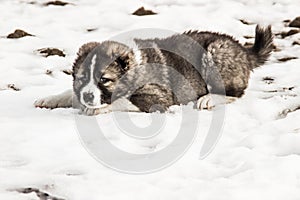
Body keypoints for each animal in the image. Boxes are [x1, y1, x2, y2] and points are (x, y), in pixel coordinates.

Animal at [34, 25, 274, 115]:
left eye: (104, 79)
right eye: (82, 78)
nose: (88, 96)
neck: (134, 68)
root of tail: (245, 52)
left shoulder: (156, 97)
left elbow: (121, 101)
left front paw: (98, 108)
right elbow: (70, 93)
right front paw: (51, 98)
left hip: (214, 53)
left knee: (234, 93)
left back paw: (208, 99)